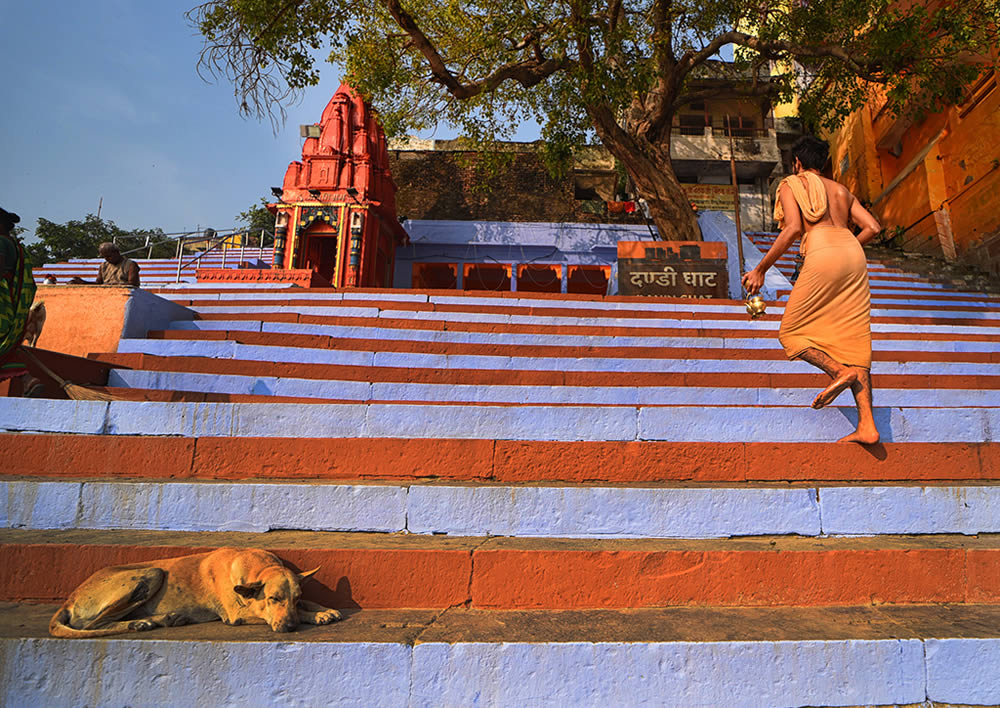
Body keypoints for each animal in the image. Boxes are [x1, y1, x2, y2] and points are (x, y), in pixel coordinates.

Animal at [47, 544, 344, 640]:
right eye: (273, 599)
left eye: (295, 598)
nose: (290, 627)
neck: (257, 564)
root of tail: (69, 599)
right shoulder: (236, 614)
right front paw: (312, 616)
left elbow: (311, 601)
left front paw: (322, 610)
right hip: (152, 573)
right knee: (94, 624)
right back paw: (140, 623)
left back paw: (161, 620)